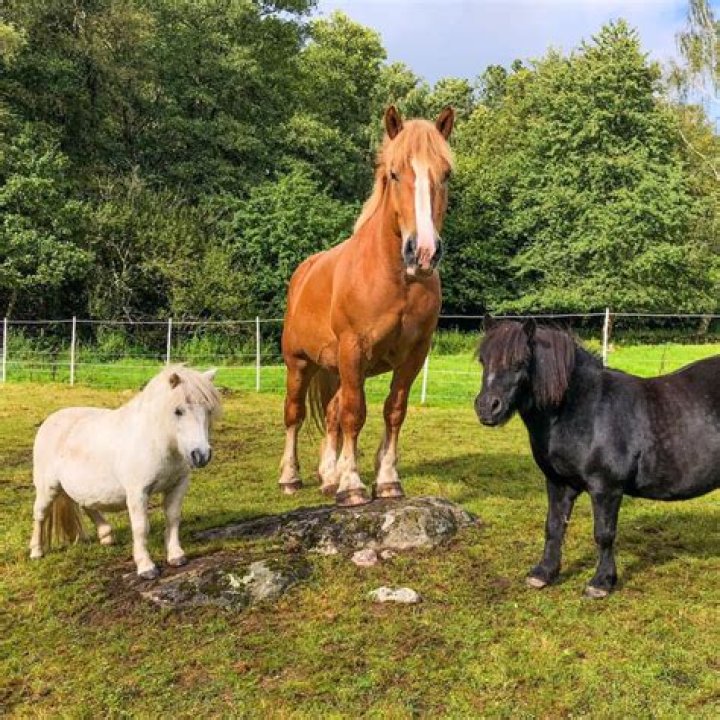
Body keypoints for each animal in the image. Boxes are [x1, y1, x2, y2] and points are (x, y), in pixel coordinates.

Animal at [29, 366, 221, 579]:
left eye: (208, 410)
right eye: (178, 411)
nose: (201, 455)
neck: (157, 441)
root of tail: (50, 421)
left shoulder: (178, 485)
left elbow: (172, 518)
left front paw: (176, 556)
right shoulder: (138, 492)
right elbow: (141, 527)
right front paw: (146, 567)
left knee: (87, 505)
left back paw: (106, 535)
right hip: (48, 488)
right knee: (40, 514)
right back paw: (36, 551)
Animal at [279, 105, 455, 507]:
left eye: (446, 174)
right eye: (394, 173)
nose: (423, 252)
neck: (396, 280)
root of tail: (304, 272)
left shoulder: (413, 356)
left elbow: (394, 411)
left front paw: (387, 480)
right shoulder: (353, 350)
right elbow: (354, 415)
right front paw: (354, 486)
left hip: (334, 368)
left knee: (330, 414)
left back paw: (328, 477)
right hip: (300, 363)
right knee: (295, 414)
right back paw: (291, 477)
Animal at [475, 317, 720, 598]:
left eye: (521, 361)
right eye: (483, 359)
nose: (487, 407)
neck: (587, 410)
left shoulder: (606, 488)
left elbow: (603, 534)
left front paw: (601, 582)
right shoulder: (559, 483)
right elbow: (554, 526)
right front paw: (543, 573)